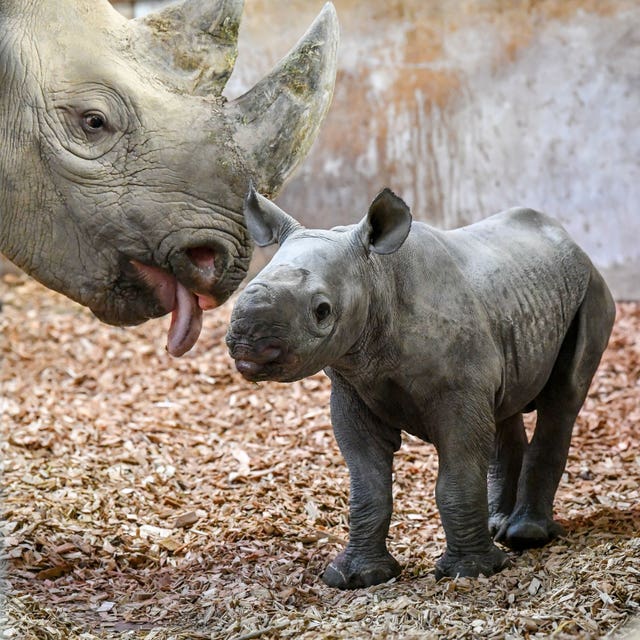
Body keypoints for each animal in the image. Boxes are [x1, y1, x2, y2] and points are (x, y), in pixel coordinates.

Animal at [225, 185, 616, 592]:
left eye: (322, 311)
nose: (248, 343)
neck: (376, 278)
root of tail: (573, 242)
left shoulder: (459, 390)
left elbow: (456, 477)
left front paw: (471, 572)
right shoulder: (352, 387)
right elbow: (367, 484)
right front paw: (355, 577)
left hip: (591, 291)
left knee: (563, 398)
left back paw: (526, 536)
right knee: (504, 407)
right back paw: (497, 528)